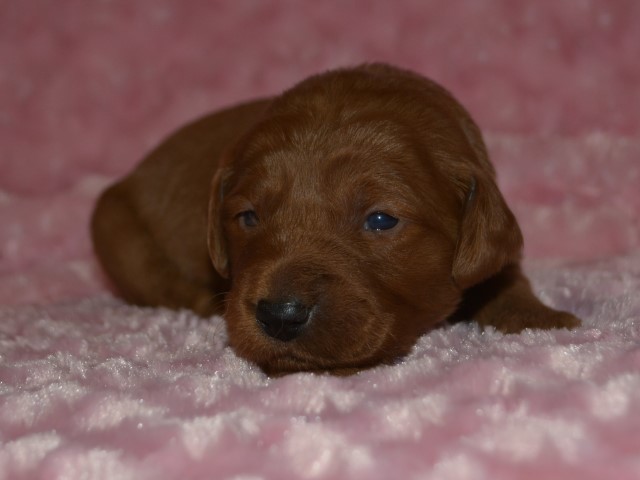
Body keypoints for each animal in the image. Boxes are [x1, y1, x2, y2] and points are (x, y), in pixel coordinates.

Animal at [94, 62, 580, 376]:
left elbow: (505, 278)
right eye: (248, 216)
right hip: (114, 226)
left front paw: (538, 319)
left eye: (381, 219)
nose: (280, 316)